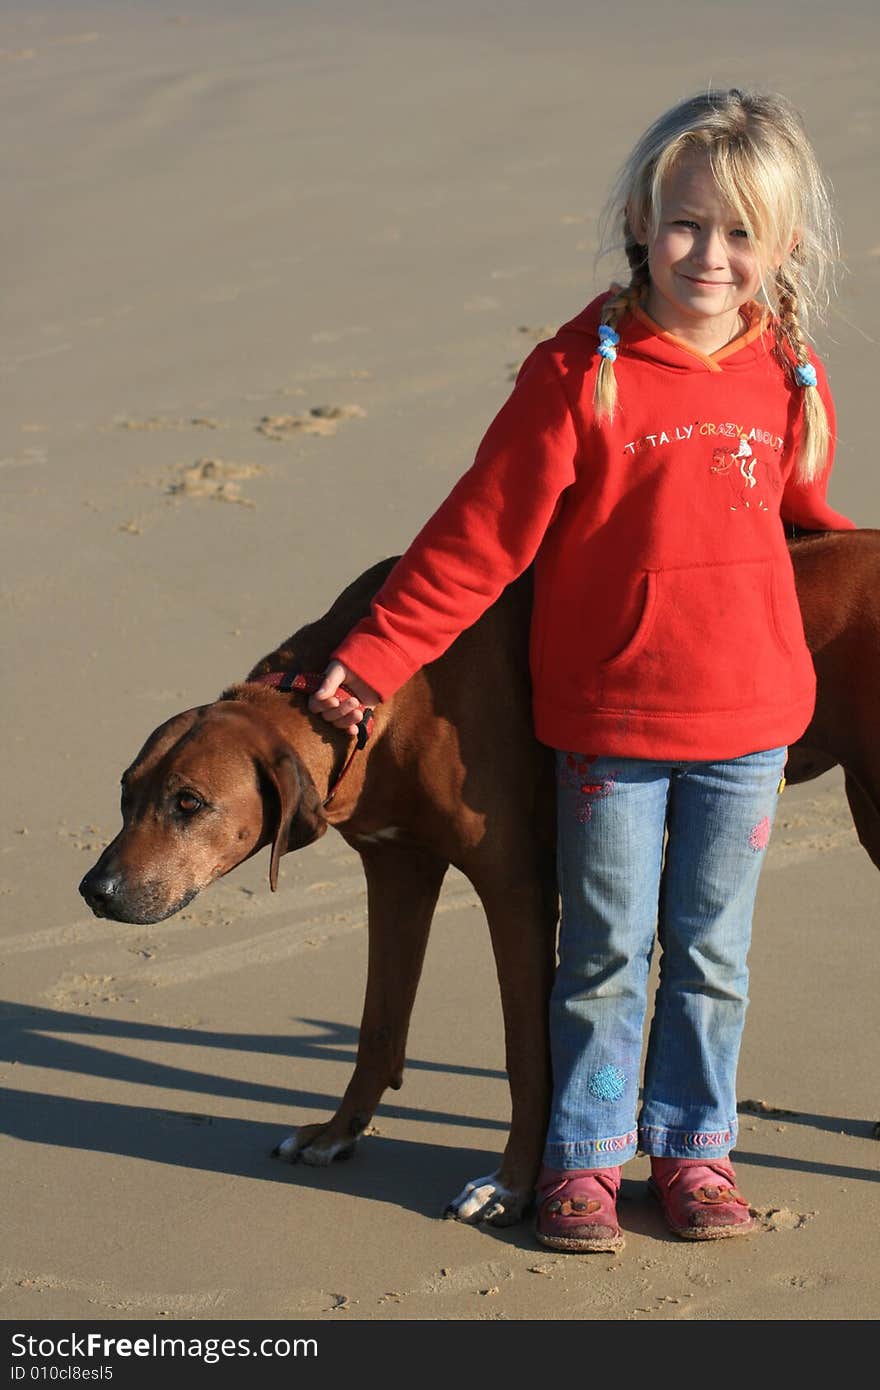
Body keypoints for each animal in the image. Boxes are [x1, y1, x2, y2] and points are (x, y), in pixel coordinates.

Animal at [80, 525, 878, 1223]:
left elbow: (528, 1051)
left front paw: (514, 1187)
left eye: (189, 802)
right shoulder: (398, 868)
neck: (382, 701)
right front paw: (337, 1133)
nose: (95, 892)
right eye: (124, 792)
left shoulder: (517, 887)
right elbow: (378, 1022)